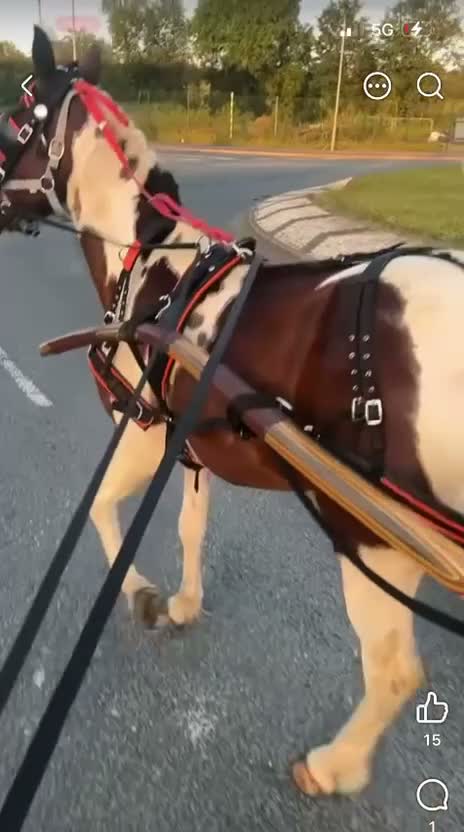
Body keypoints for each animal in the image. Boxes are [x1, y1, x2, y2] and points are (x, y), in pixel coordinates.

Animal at [1, 26, 464, 799]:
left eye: (15, 120)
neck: (153, 267)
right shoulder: (191, 445)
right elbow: (192, 527)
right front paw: (185, 602)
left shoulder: (143, 429)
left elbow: (101, 507)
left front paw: (142, 595)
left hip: (374, 538)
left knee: (396, 671)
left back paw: (335, 765)